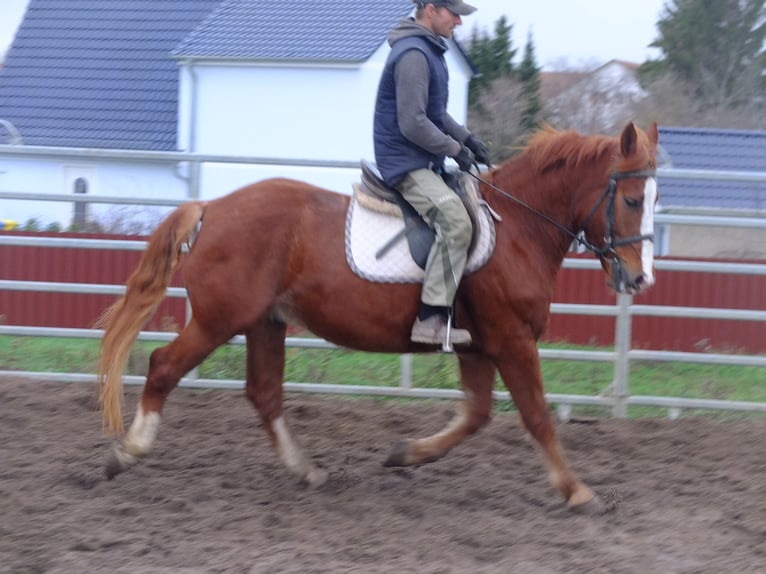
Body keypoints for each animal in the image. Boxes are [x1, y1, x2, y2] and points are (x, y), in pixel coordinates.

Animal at [96, 120, 660, 512]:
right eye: (633, 200)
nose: (639, 280)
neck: (520, 226)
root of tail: (211, 206)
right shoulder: (512, 340)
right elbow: (538, 417)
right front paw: (578, 492)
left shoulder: (478, 345)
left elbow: (476, 415)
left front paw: (405, 454)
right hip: (220, 319)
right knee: (164, 367)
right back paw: (127, 452)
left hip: (265, 322)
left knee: (264, 393)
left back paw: (306, 471)